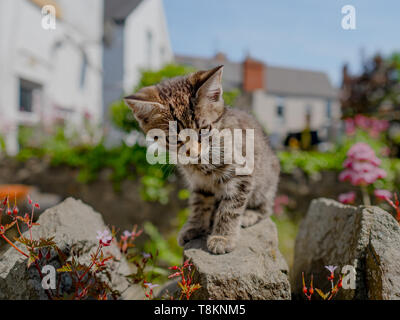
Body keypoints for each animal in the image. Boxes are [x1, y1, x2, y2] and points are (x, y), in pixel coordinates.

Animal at [124, 65, 278, 255]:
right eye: (173, 139)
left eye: (203, 130)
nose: (193, 152)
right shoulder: (200, 183)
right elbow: (200, 204)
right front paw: (195, 226)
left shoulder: (243, 174)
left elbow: (230, 208)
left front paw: (222, 237)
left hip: (266, 182)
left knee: (266, 208)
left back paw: (249, 214)